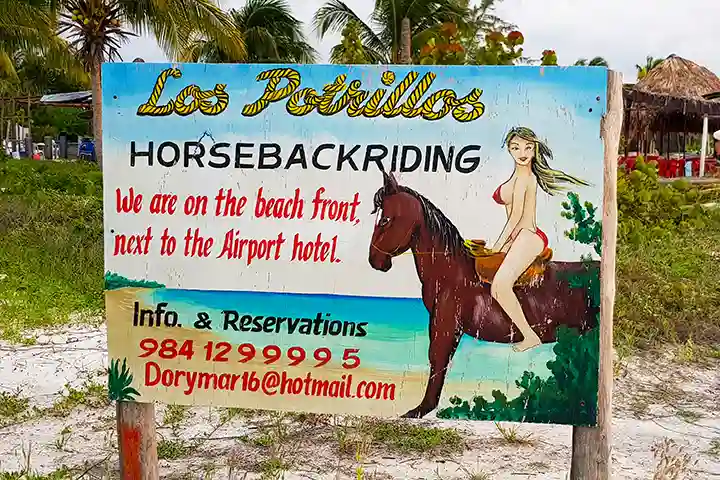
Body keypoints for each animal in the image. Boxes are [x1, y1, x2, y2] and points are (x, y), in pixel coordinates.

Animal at [368, 171, 600, 418]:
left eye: (385, 220)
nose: (375, 260)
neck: (453, 270)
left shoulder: (446, 326)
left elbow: (437, 360)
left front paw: (421, 409)